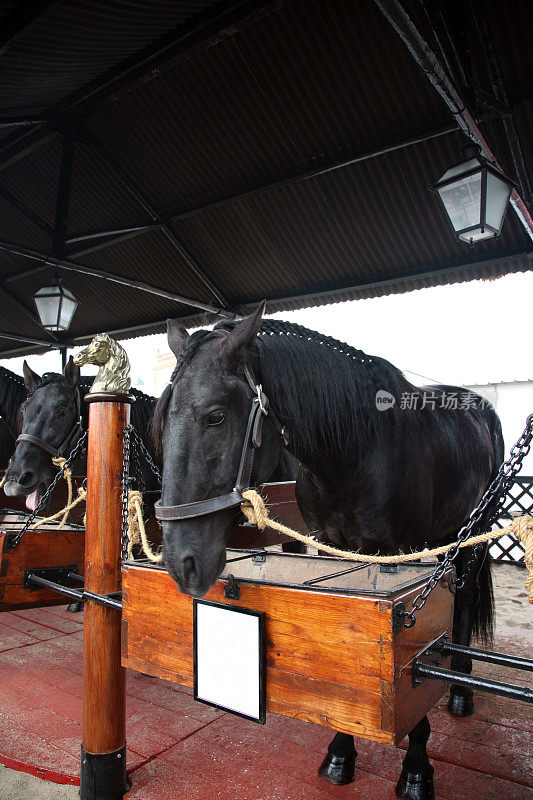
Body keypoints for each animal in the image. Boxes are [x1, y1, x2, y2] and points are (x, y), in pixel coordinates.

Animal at [153, 304, 502, 800]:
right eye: (163, 420)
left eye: (216, 416)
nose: (183, 562)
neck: (357, 448)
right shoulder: (334, 550)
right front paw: (340, 752)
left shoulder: (400, 558)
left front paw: (416, 769)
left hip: (479, 529)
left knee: (467, 597)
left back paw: (461, 688)